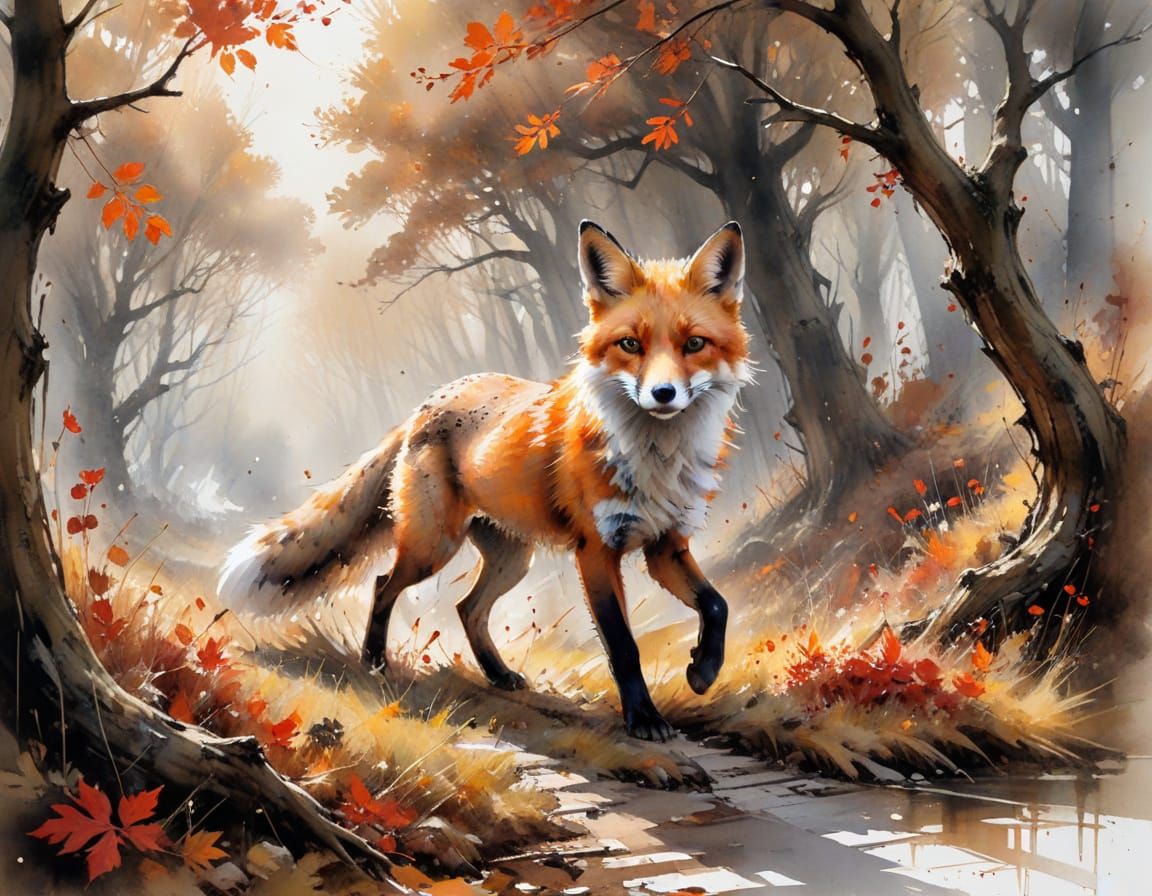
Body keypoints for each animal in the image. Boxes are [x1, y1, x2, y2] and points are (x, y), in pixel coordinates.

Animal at [218, 220, 752, 740]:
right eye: (630, 345)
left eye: (694, 344)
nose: (663, 394)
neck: (657, 458)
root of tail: (430, 401)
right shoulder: (597, 551)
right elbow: (623, 645)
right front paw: (644, 720)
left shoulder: (666, 545)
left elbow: (718, 604)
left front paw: (703, 670)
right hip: (434, 544)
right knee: (385, 584)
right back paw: (374, 662)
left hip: (511, 558)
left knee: (466, 608)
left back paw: (498, 674)